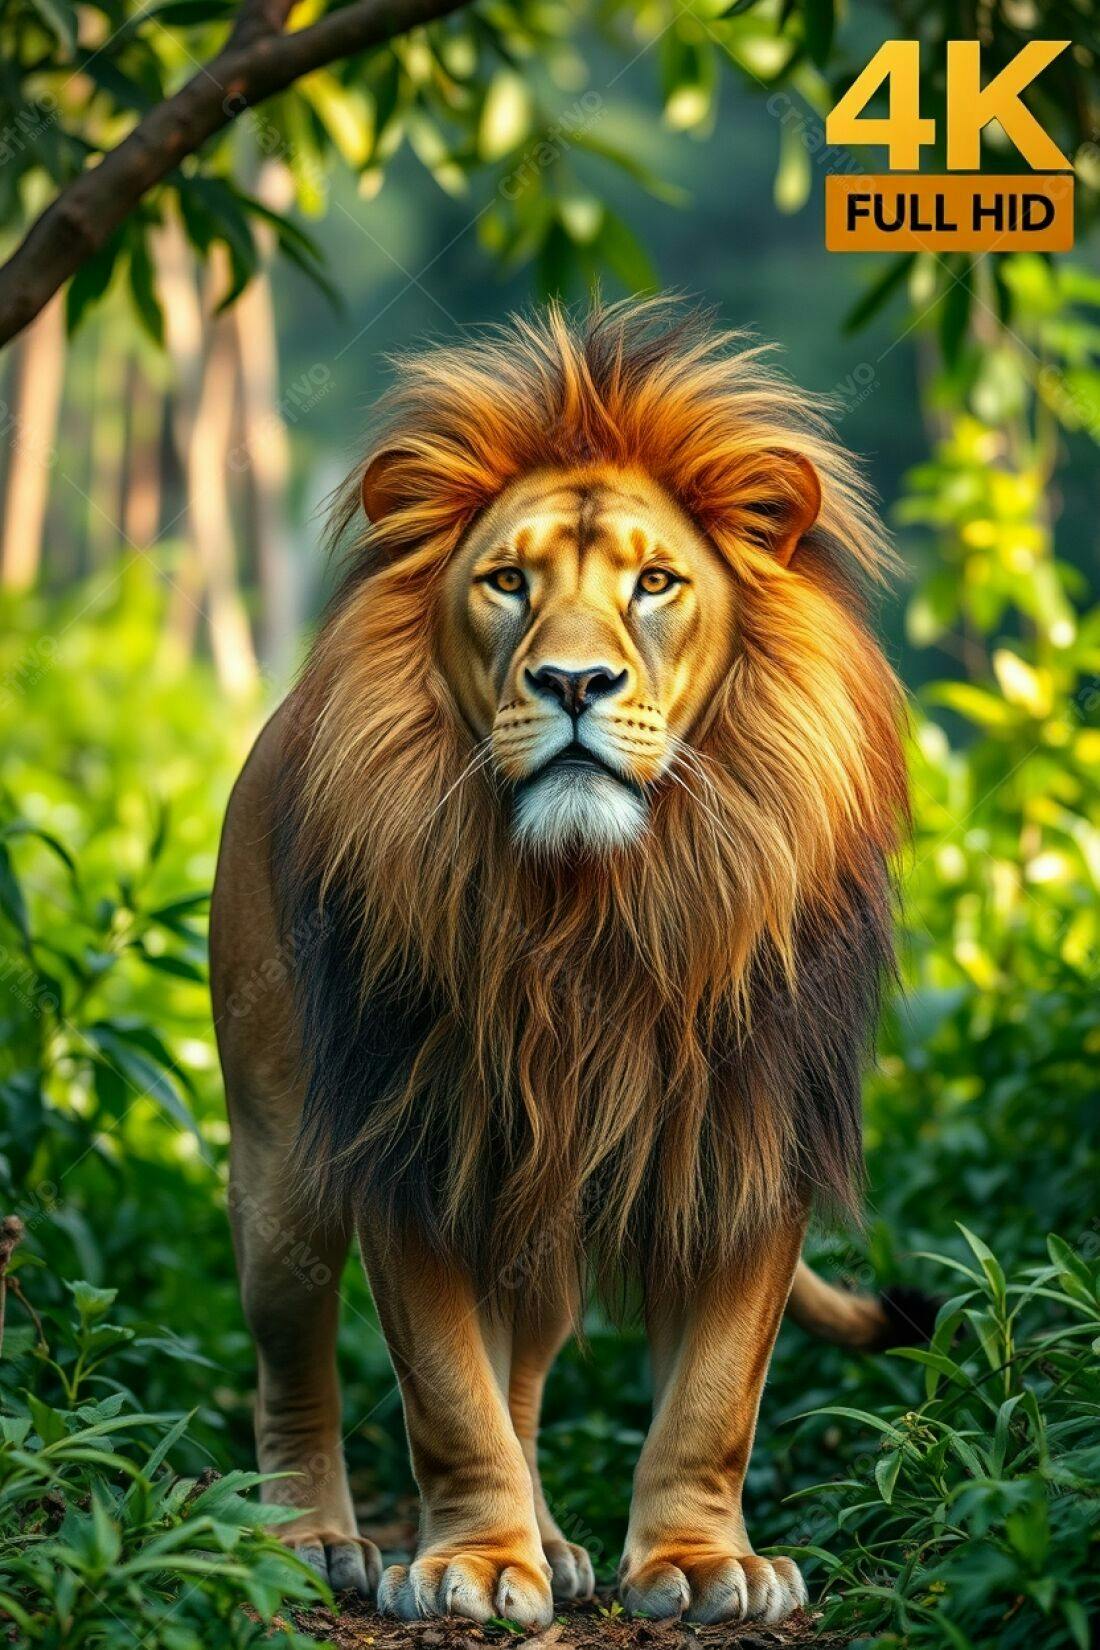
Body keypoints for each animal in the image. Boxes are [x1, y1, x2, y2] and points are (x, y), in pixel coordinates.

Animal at [210, 298, 927, 1629]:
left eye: (654, 582)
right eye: (505, 582)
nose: (575, 681)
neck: (596, 908)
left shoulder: (752, 1144)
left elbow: (714, 1396)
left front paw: (695, 1563)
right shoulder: (408, 1136)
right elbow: (446, 1392)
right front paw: (476, 1565)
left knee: (528, 1374)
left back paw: (554, 1540)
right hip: (279, 1165)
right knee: (294, 1362)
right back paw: (309, 1542)